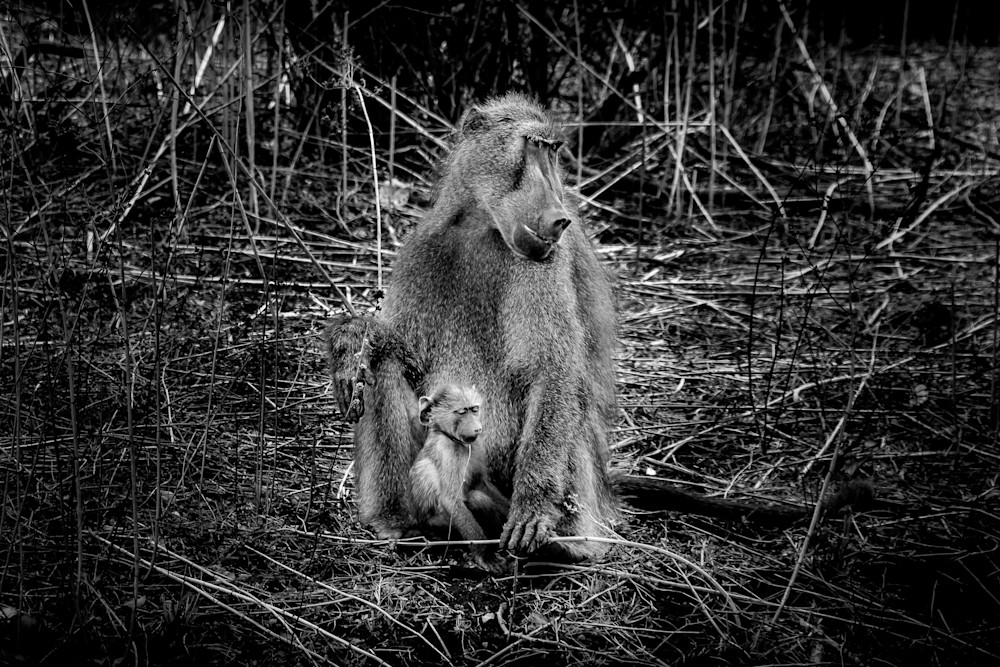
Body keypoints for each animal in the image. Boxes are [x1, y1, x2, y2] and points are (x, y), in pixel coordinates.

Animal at [409, 384, 510, 572]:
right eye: (462, 412)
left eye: (475, 409)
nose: (478, 428)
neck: (454, 439)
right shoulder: (447, 451)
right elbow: (451, 500)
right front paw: (485, 555)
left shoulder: (476, 446)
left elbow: (481, 483)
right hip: (439, 526)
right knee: (477, 499)